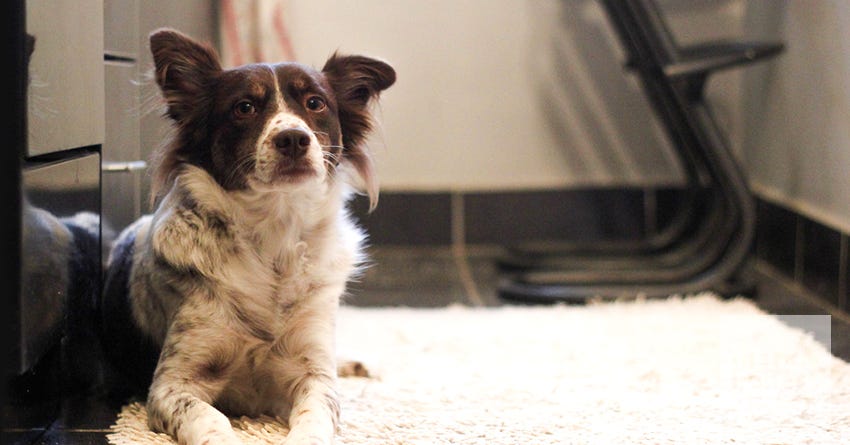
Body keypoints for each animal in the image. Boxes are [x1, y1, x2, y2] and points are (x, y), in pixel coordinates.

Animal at [98, 27, 394, 444]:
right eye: (244, 108)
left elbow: (316, 412)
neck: (274, 238)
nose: (293, 139)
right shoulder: (174, 384)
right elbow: (208, 418)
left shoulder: (312, 373)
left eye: (315, 103)